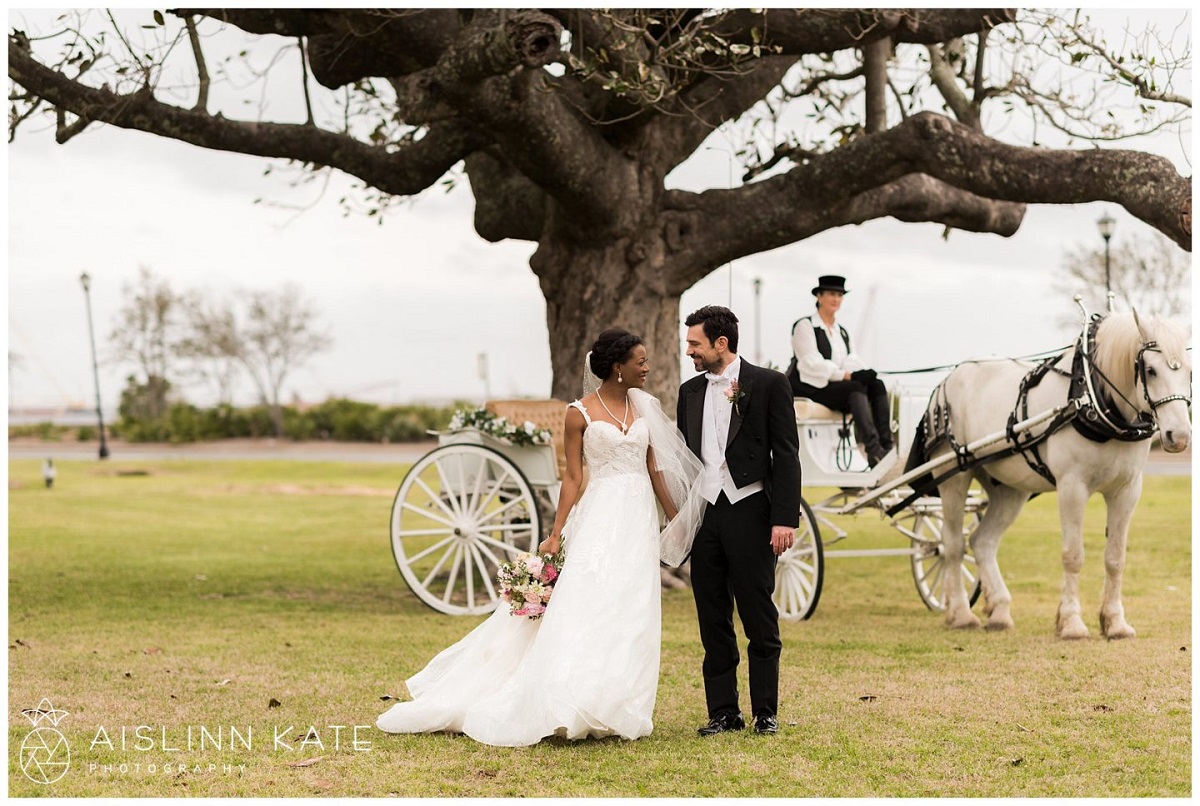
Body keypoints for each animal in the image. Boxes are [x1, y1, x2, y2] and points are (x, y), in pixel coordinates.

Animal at [921, 311, 1185, 638]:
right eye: (1150, 370)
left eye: (1189, 370)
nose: (1180, 436)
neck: (1093, 399)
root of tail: (948, 379)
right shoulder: (1072, 486)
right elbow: (1073, 556)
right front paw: (1071, 622)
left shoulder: (1127, 490)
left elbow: (1115, 559)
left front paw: (1115, 622)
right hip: (952, 475)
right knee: (953, 544)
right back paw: (960, 613)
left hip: (1009, 489)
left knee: (982, 542)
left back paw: (1000, 612)